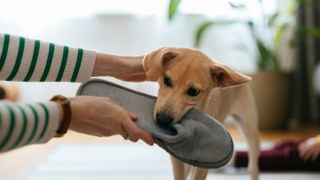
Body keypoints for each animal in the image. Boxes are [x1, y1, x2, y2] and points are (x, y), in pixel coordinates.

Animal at [142, 47, 260, 179]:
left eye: (193, 91)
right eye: (167, 80)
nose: (162, 119)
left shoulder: (205, 164)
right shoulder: (177, 158)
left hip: (250, 130)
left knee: (253, 167)